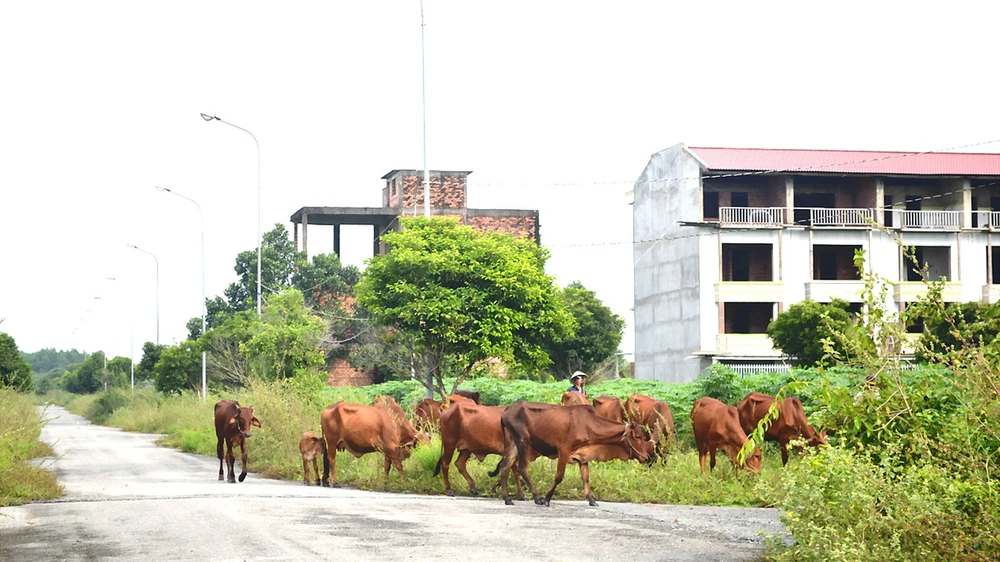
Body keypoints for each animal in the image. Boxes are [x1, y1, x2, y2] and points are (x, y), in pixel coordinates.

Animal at [494, 400, 652, 506]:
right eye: (637, 436)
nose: (645, 457)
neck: (589, 424)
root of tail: (509, 408)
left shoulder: (583, 457)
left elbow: (586, 478)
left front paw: (592, 500)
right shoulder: (563, 450)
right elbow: (559, 476)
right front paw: (547, 499)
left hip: (514, 443)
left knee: (505, 466)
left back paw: (507, 499)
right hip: (523, 441)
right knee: (522, 468)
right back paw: (537, 497)